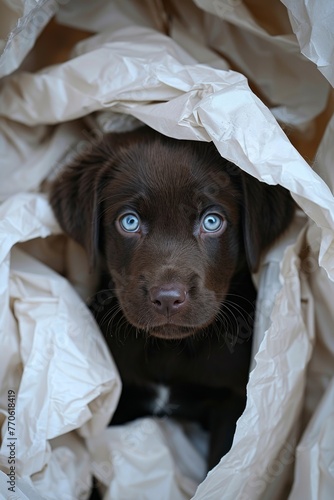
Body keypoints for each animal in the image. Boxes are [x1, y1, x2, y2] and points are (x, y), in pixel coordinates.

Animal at [49, 125, 294, 468]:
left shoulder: (232, 402)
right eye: (129, 221)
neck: (169, 351)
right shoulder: (116, 403)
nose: (167, 298)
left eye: (211, 221)